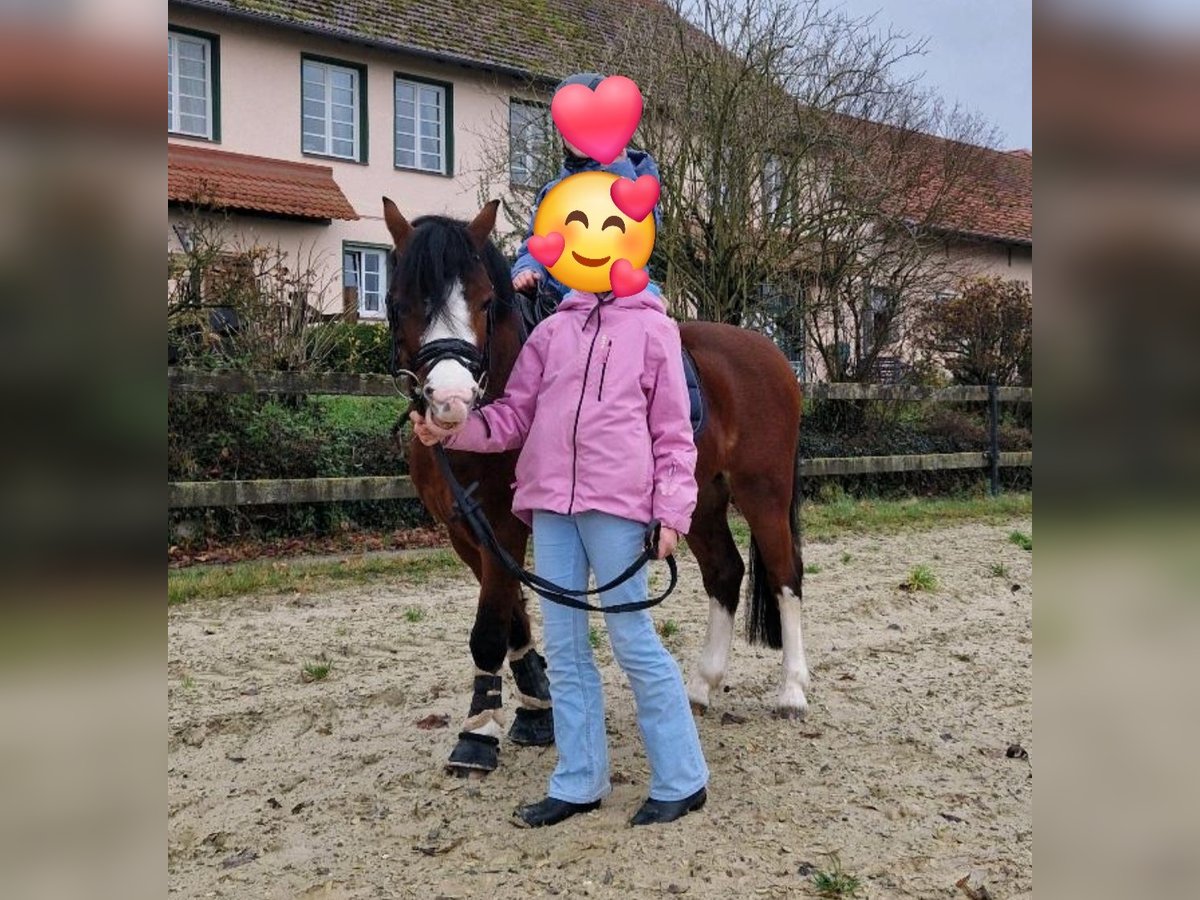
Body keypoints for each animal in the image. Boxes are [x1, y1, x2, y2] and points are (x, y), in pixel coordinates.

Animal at [382, 196, 810, 776]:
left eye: (484, 301)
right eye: (397, 302)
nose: (451, 401)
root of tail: (771, 354)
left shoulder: (504, 525)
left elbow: (490, 625)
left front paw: (479, 733)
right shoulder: (464, 531)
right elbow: (513, 615)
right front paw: (535, 707)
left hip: (763, 490)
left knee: (785, 576)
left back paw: (792, 691)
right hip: (699, 499)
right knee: (725, 572)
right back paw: (701, 687)